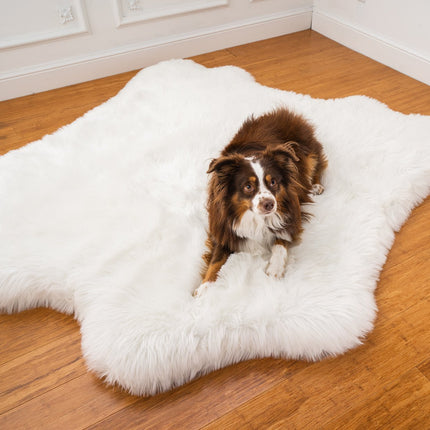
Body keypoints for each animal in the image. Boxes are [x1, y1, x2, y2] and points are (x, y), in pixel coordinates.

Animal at [193, 106, 328, 298]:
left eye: (273, 182)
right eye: (248, 186)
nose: (269, 204)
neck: (254, 217)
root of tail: (284, 111)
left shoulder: (292, 215)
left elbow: (281, 240)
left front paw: (275, 269)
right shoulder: (222, 228)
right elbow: (215, 260)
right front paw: (205, 287)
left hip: (306, 154)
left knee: (318, 164)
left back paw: (316, 185)